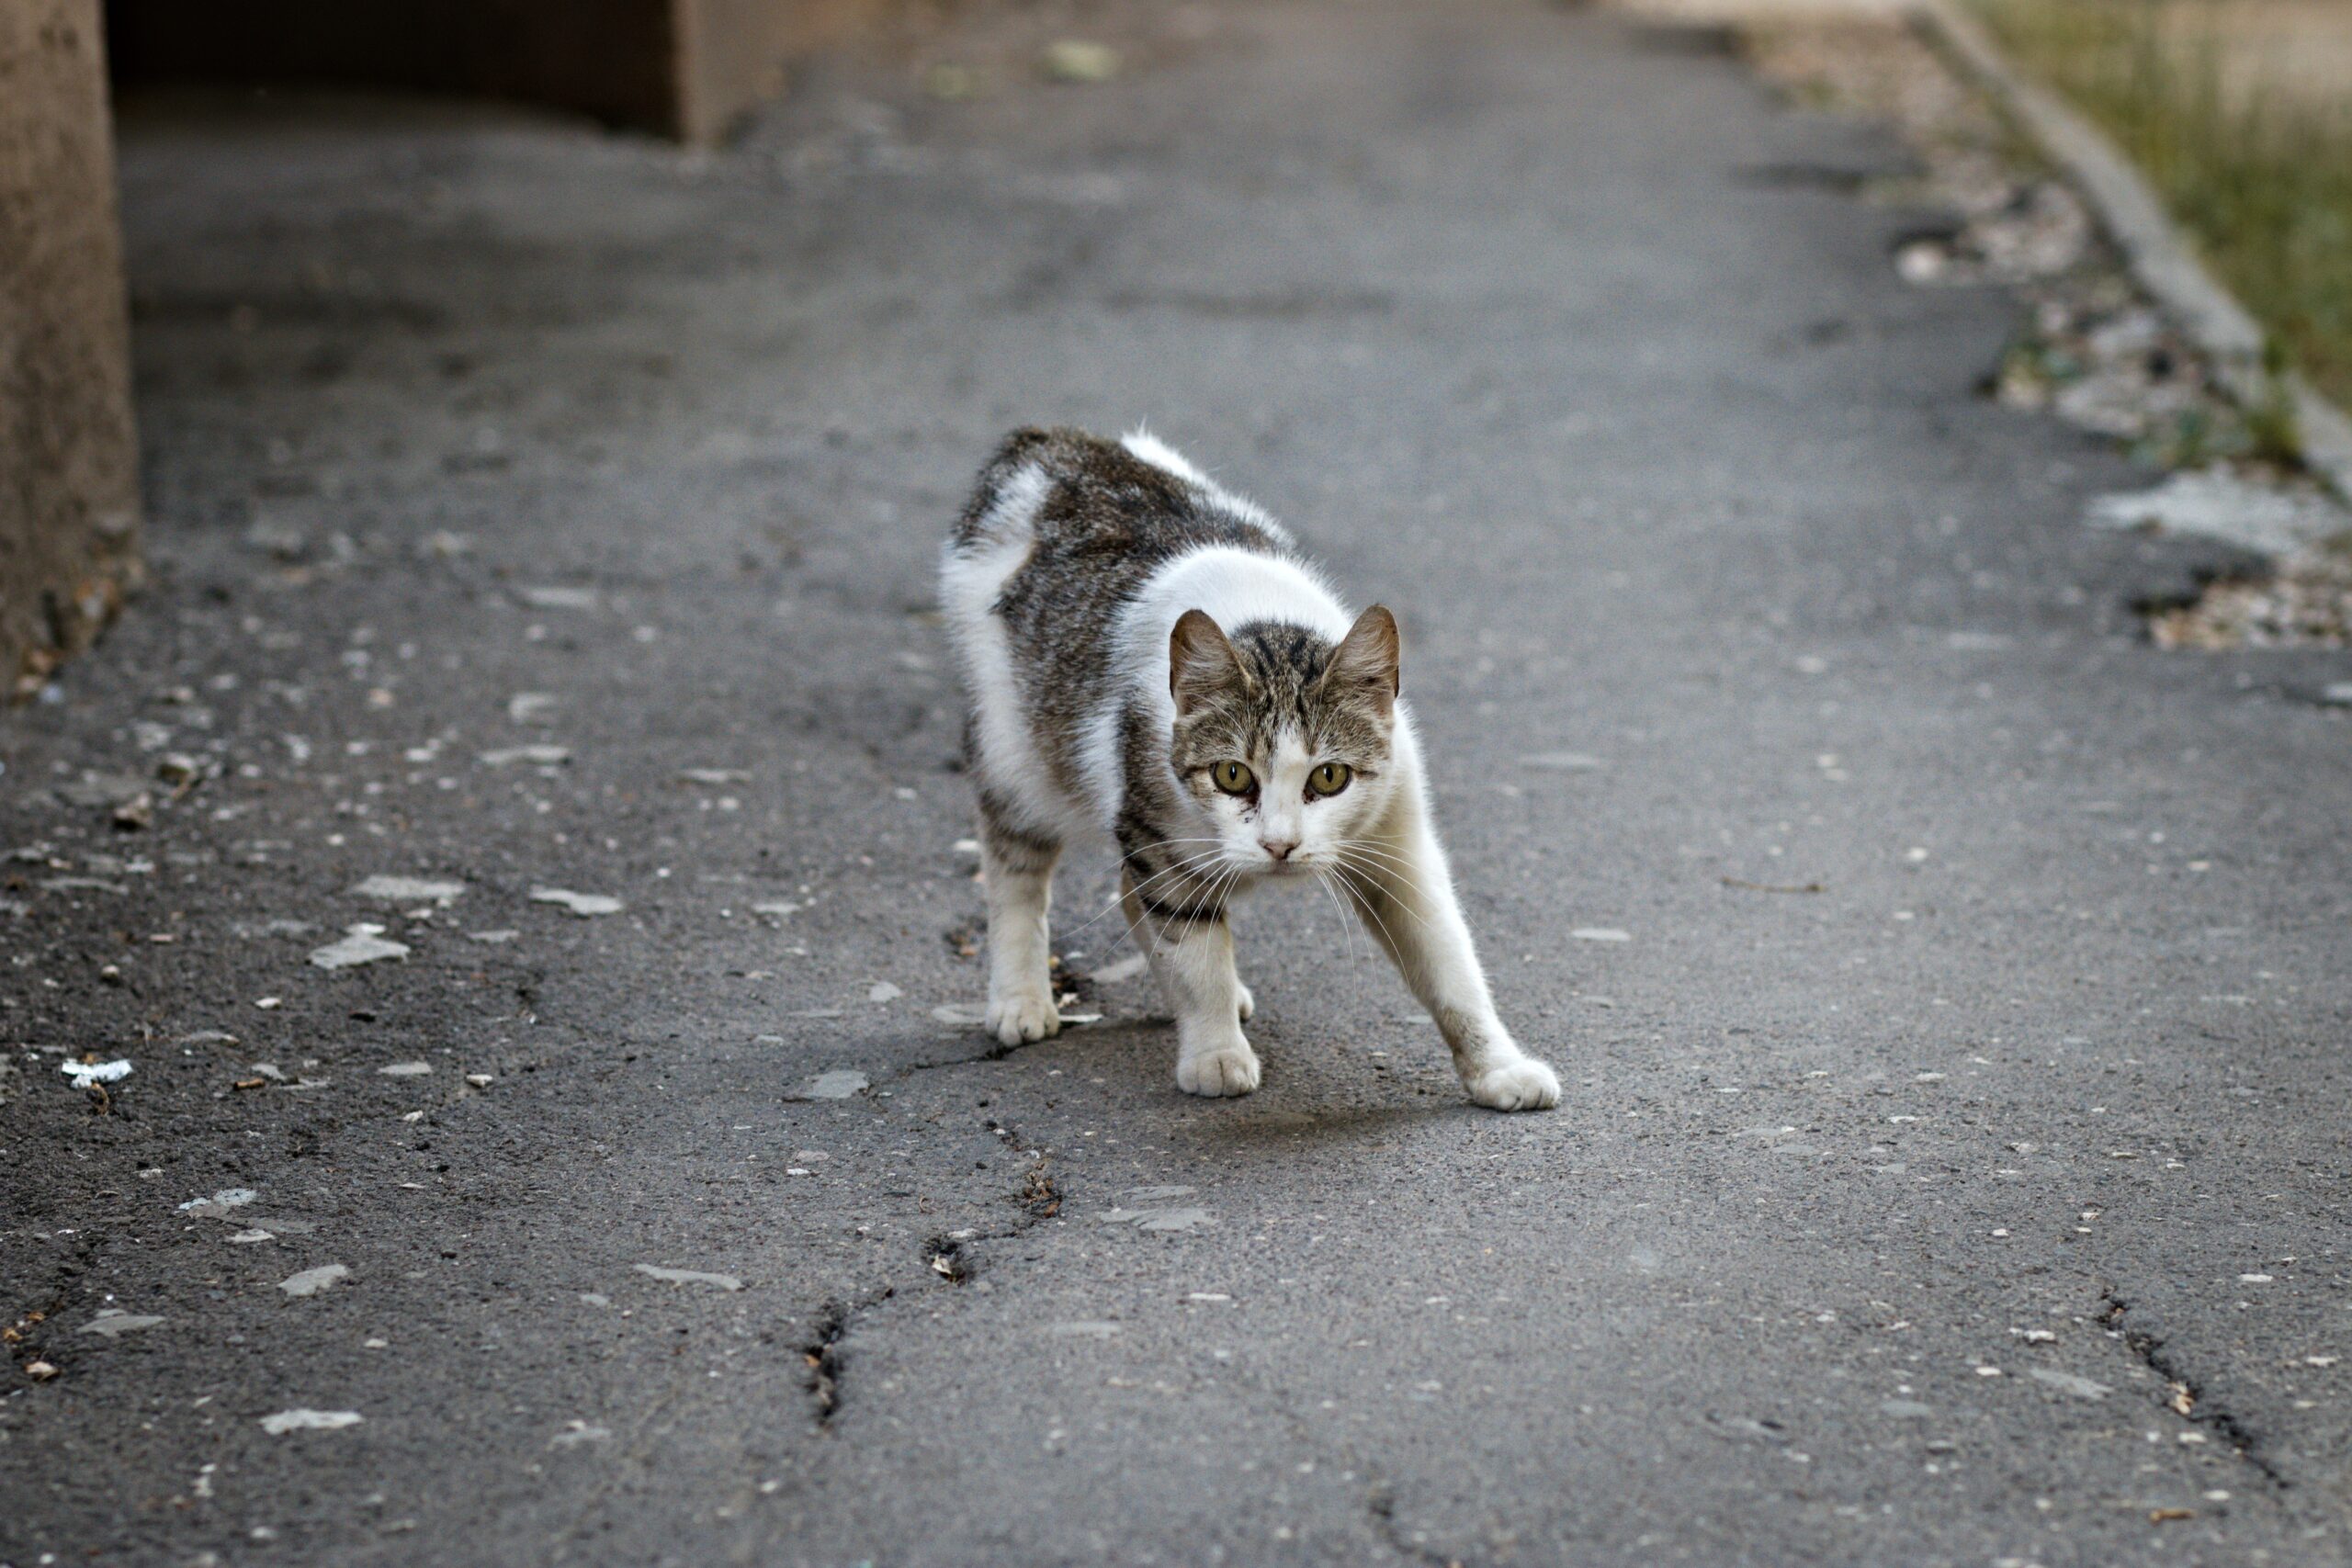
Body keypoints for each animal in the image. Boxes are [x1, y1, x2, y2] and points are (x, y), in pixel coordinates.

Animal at [935, 430, 1561, 1114]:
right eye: (1233, 775)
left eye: (1329, 777)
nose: (1279, 845)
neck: (1266, 619)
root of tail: (1048, 444)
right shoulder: (1163, 845)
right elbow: (1196, 956)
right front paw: (1214, 1052)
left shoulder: (1399, 843)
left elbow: (1450, 964)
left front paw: (1498, 1066)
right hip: (1016, 757)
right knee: (1017, 871)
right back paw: (1021, 997)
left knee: (1128, 891)